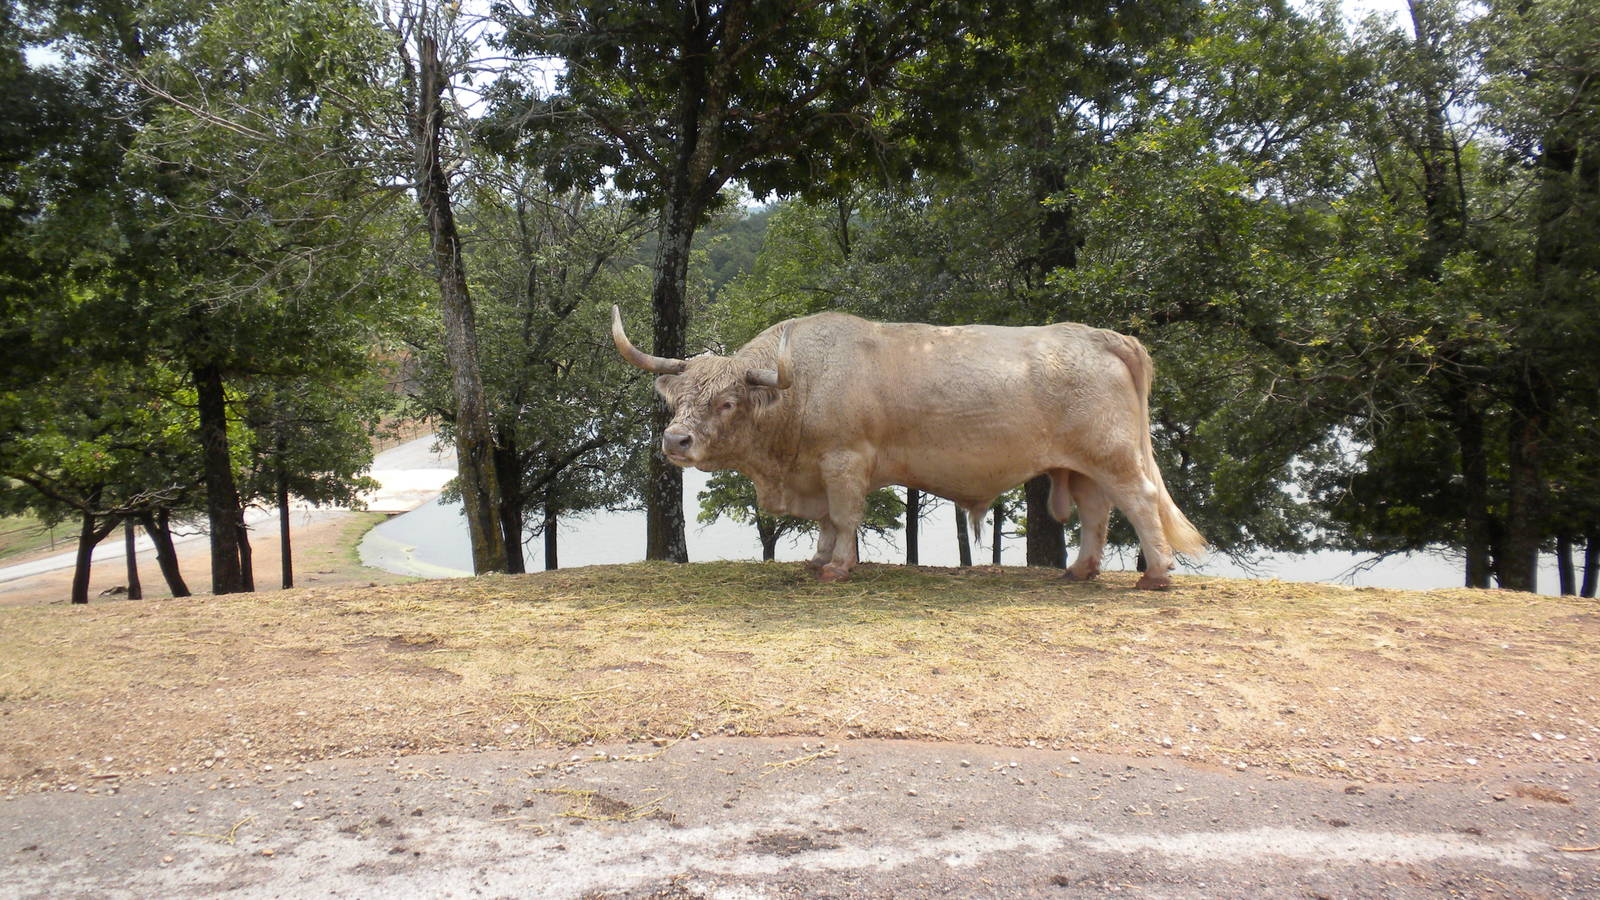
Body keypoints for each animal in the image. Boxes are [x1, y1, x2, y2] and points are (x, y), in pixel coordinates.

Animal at [611, 306, 1205, 589]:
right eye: (676, 400)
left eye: (727, 402)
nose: (675, 440)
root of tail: (1096, 335)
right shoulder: (818, 470)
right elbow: (825, 522)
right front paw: (818, 558)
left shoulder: (844, 460)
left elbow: (844, 516)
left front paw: (837, 568)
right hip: (1081, 466)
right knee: (1096, 511)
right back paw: (1081, 570)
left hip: (1115, 455)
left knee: (1141, 501)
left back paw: (1156, 575)